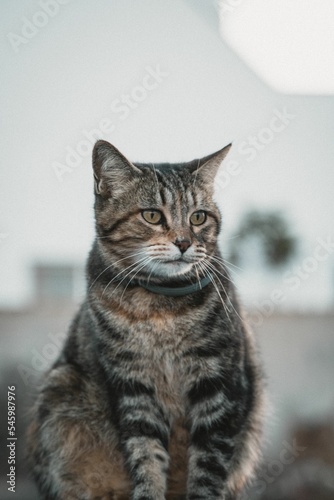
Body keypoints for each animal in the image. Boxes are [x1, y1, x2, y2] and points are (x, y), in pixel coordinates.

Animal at [27, 139, 264, 498]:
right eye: (152, 215)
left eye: (198, 217)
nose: (184, 242)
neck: (159, 309)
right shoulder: (134, 386)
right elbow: (146, 454)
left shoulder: (219, 384)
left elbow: (209, 464)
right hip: (61, 389)